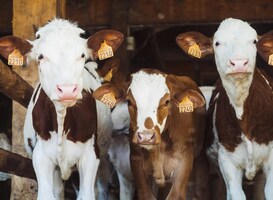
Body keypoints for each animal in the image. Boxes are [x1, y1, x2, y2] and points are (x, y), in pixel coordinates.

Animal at [0, 18, 122, 199]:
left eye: (82, 55)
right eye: (41, 56)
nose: (67, 89)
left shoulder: (90, 155)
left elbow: (87, 194)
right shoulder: (40, 155)